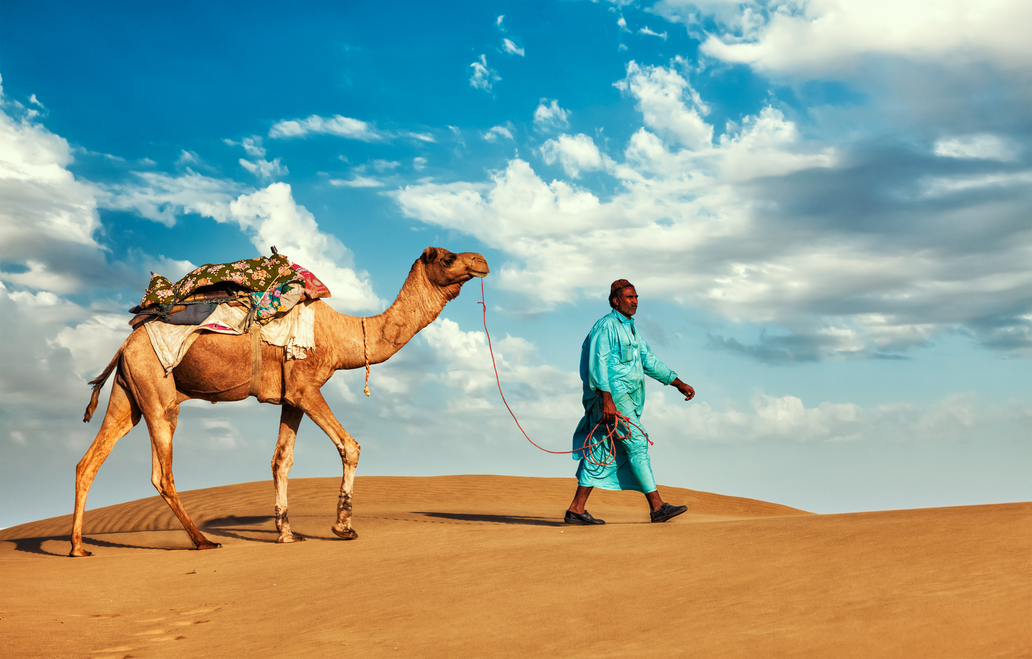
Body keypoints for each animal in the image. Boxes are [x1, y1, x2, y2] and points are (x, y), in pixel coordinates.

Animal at [70, 247, 489, 556]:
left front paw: (287, 533)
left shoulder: (292, 396)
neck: (344, 336)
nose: (482, 260)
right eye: (447, 258)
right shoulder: (307, 387)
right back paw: (202, 541)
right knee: (162, 473)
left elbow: (281, 461)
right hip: (157, 390)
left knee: (89, 461)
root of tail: (125, 344)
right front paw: (343, 527)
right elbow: (349, 445)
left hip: (128, 394)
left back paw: (78, 547)